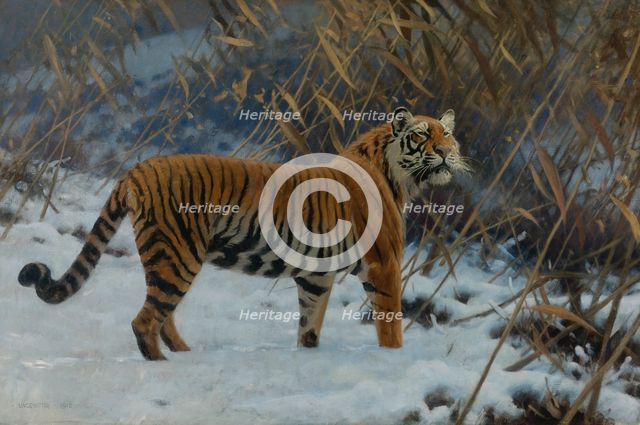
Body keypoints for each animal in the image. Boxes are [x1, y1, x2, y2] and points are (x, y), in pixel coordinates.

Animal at [18, 107, 469, 360]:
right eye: (424, 135)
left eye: (448, 133)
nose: (447, 152)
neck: (398, 176)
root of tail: (137, 168)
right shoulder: (383, 264)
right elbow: (390, 327)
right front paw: (393, 360)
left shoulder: (316, 276)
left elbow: (309, 326)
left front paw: (309, 358)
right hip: (178, 255)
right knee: (145, 321)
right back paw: (166, 366)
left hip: (168, 258)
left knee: (161, 316)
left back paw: (186, 355)